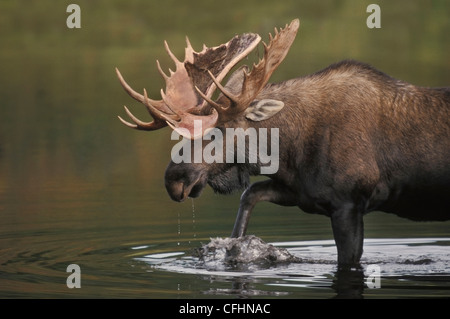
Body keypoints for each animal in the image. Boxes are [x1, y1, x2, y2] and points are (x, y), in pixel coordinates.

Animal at [117, 19, 450, 270]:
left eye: (219, 130)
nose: (174, 181)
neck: (290, 151)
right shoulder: (302, 193)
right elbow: (249, 195)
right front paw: (235, 246)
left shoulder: (349, 203)